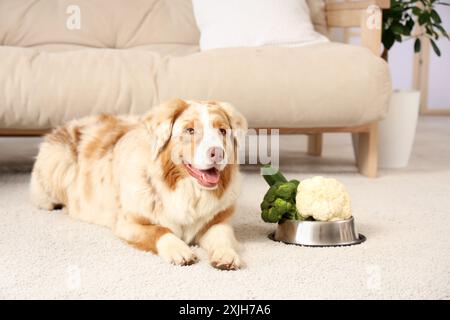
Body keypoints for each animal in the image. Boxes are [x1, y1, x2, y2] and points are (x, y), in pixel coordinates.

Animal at [29, 99, 248, 268]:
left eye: (222, 131)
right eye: (190, 130)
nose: (217, 153)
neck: (187, 191)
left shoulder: (218, 221)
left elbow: (222, 236)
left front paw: (226, 254)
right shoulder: (127, 223)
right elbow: (160, 230)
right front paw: (179, 249)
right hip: (58, 163)